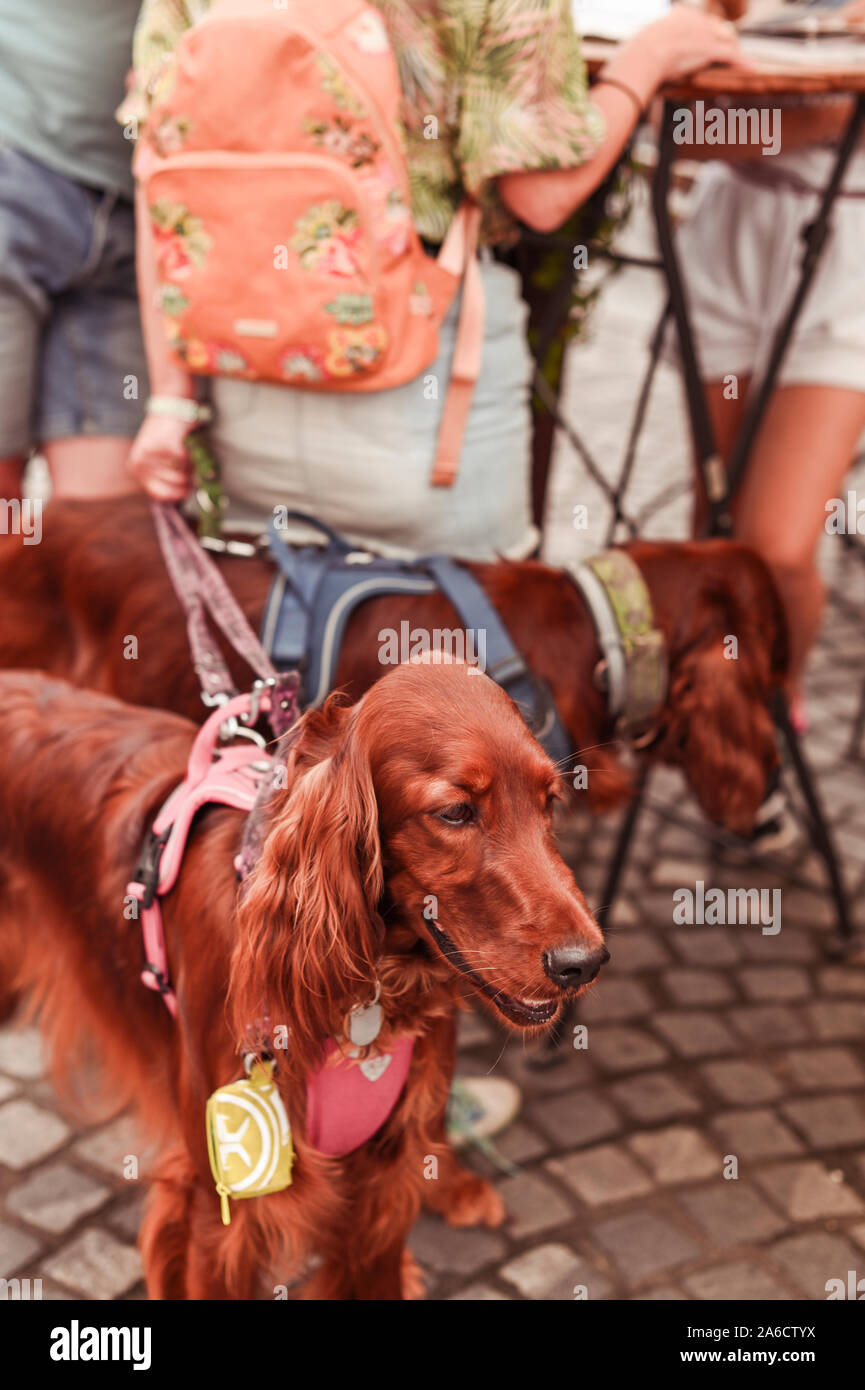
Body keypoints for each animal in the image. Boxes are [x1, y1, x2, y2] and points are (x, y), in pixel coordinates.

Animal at [0, 661, 609, 1301]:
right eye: (455, 812)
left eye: (550, 802)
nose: (584, 962)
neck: (365, 1001)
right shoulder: (223, 1214)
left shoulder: (384, 1191)